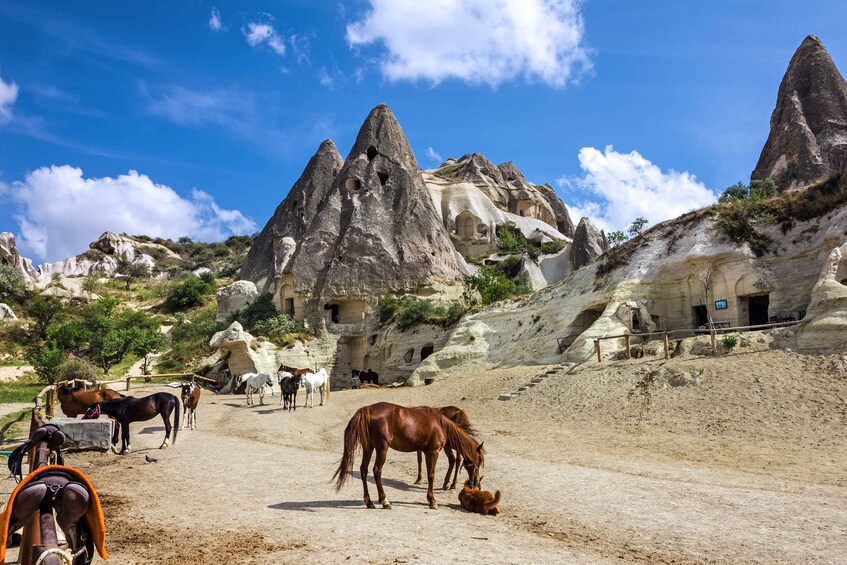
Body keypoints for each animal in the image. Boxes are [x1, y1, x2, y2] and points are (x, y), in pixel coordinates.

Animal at [334, 398, 486, 508]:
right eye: (477, 465)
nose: (476, 485)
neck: (440, 424)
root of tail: (368, 409)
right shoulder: (433, 452)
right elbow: (431, 475)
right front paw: (432, 501)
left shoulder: (425, 452)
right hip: (382, 448)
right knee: (377, 470)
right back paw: (384, 501)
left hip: (369, 447)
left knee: (364, 470)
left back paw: (369, 502)